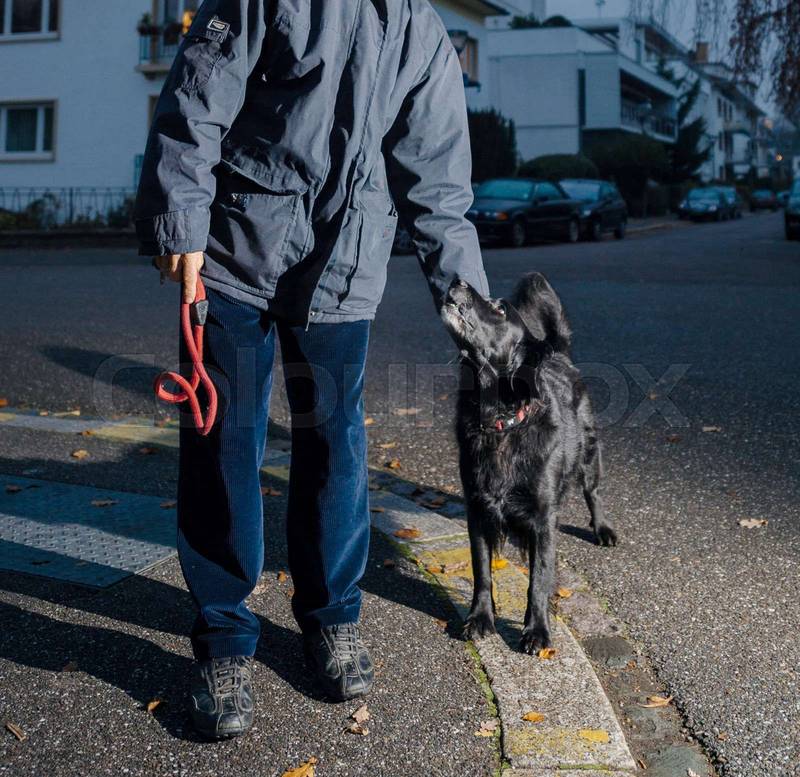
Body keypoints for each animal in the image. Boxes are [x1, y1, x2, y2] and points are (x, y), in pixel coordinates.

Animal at [441, 273, 618, 654]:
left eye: (499, 308)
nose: (457, 279)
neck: (501, 424)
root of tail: (559, 354)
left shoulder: (543, 519)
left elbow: (538, 579)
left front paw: (537, 630)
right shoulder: (477, 510)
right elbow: (481, 570)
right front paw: (480, 619)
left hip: (589, 456)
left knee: (593, 492)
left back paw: (603, 529)